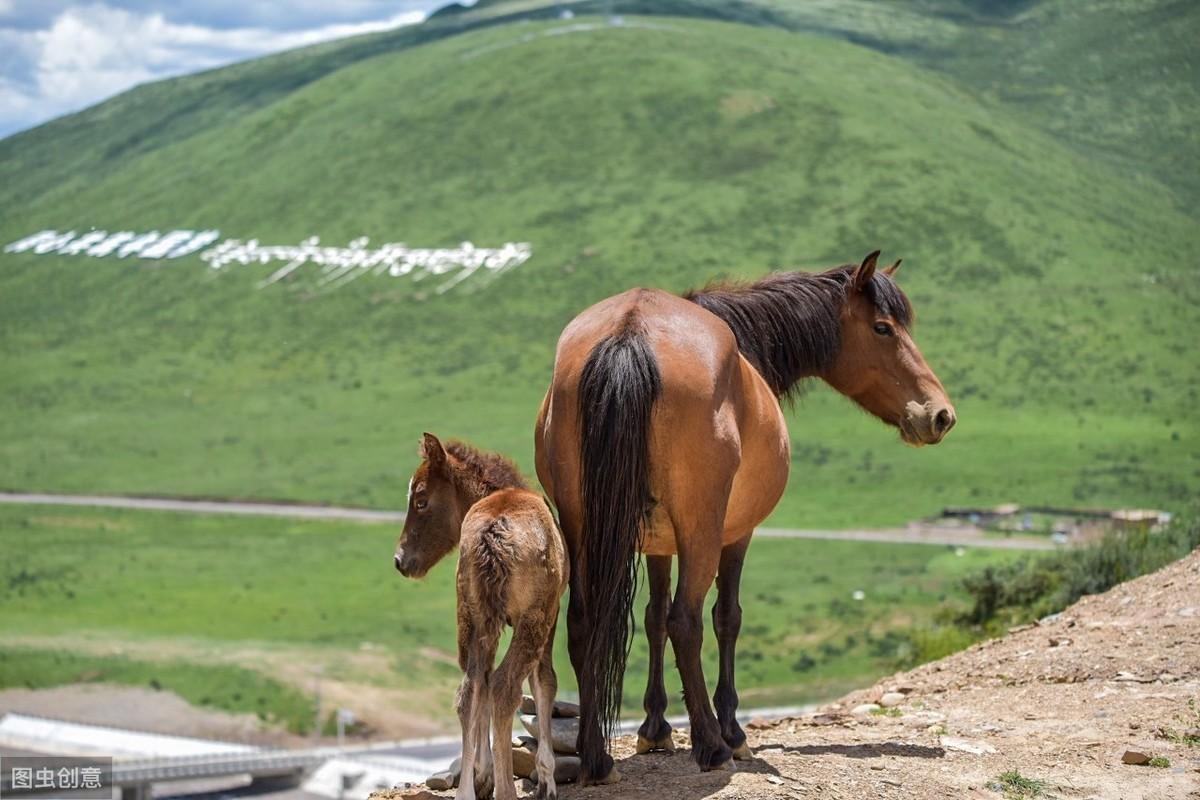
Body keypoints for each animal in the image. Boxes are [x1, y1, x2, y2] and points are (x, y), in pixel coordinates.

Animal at [388, 434, 566, 800]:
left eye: (421, 501)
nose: (401, 561)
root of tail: (492, 533)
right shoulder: (551, 613)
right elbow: (544, 681)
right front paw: (546, 780)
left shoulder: (487, 619)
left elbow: (480, 680)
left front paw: (482, 776)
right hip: (532, 618)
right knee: (504, 685)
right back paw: (506, 789)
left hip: (470, 612)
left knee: (470, 688)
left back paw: (469, 790)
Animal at [535, 251, 955, 782]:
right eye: (884, 328)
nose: (940, 415)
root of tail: (630, 332)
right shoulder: (736, 533)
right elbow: (725, 618)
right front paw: (732, 731)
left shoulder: (656, 542)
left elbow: (651, 618)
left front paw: (655, 728)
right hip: (701, 529)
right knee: (687, 622)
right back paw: (712, 745)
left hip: (580, 524)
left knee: (586, 621)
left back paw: (596, 757)